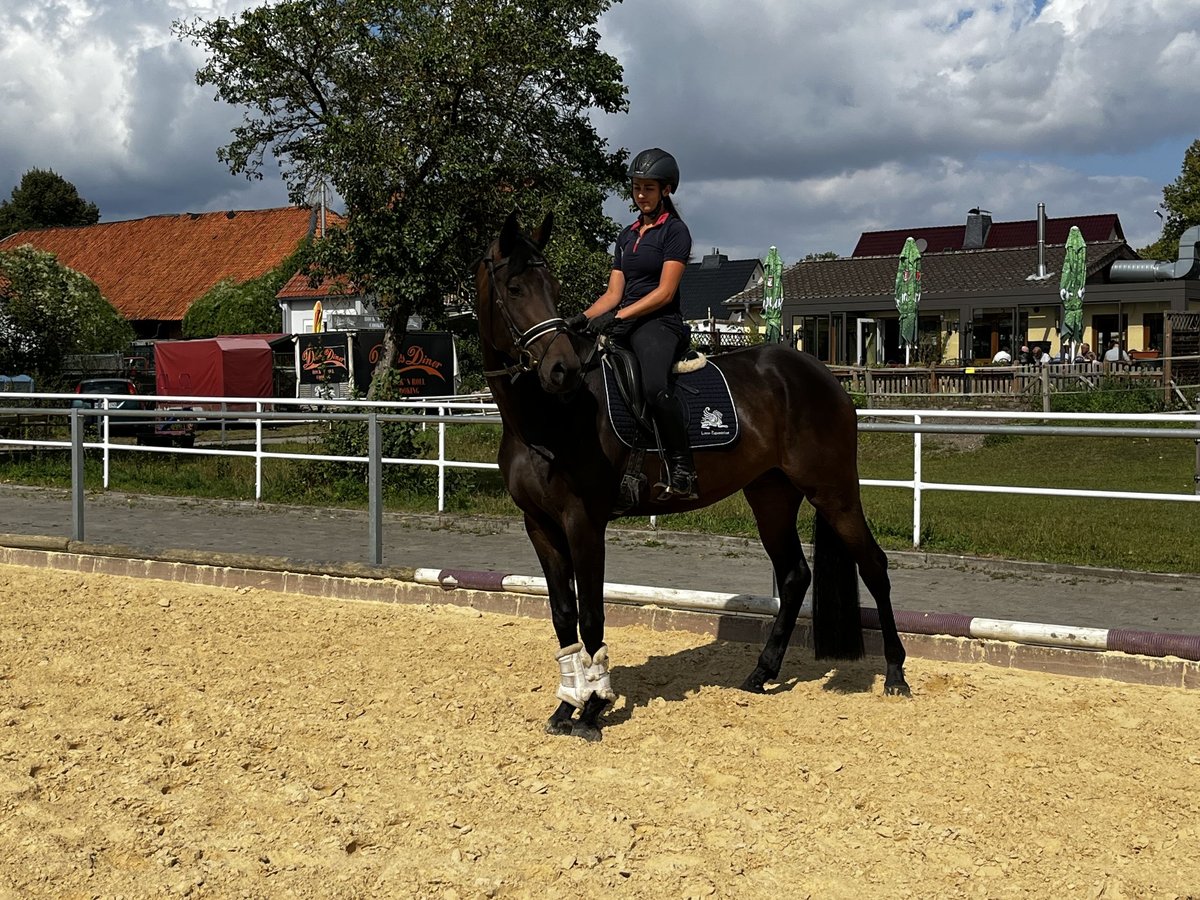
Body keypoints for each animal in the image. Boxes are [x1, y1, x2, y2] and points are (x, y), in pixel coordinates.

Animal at [477, 214, 907, 744]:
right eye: (514, 288)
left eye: (553, 288)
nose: (563, 370)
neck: (546, 418)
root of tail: (822, 374)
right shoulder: (539, 524)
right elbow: (563, 615)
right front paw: (565, 706)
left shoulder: (584, 522)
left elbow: (591, 613)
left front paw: (593, 709)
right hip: (772, 495)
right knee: (794, 575)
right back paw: (761, 673)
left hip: (833, 491)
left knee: (873, 566)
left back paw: (895, 674)